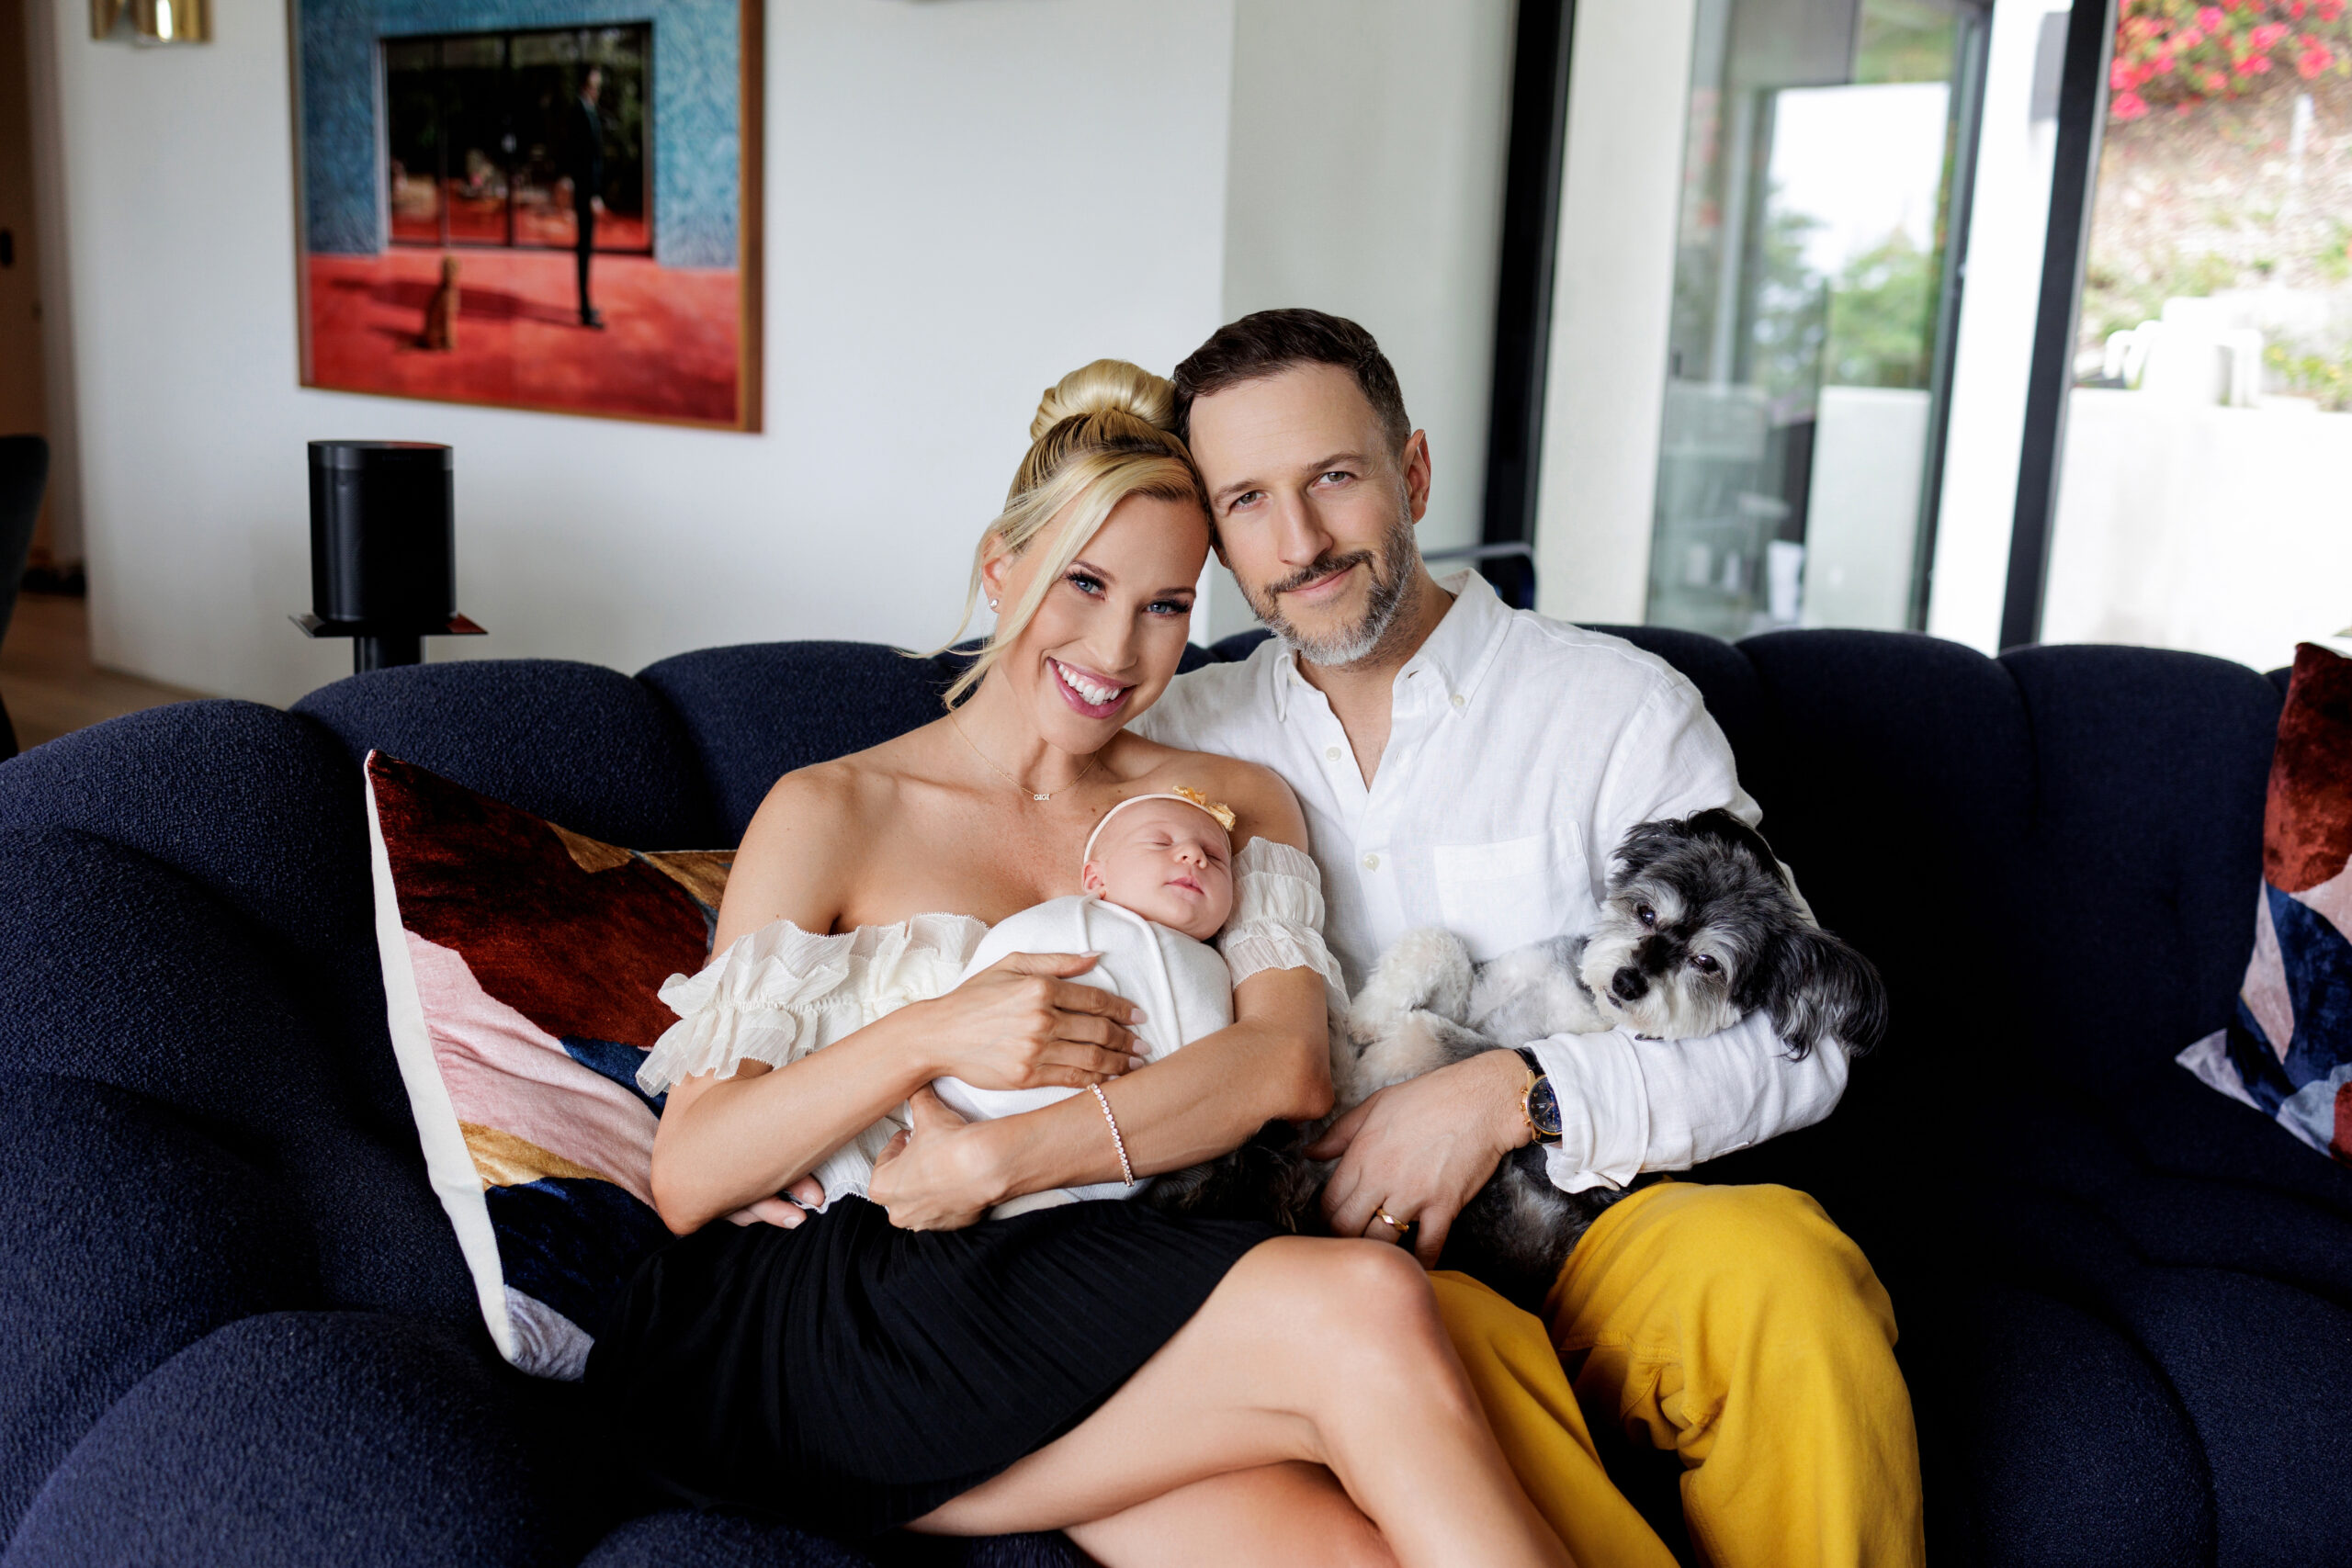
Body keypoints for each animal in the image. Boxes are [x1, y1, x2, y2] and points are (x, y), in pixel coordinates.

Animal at [1143, 808, 1891, 1316]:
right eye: (1645, 911)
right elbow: (1438, 945)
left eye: (1708, 962)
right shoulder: (1483, 996)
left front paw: (1354, 1062)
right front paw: (1363, 1014)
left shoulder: (1476, 1050)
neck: (1582, 1007)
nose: (1627, 981)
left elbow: (1422, 1040)